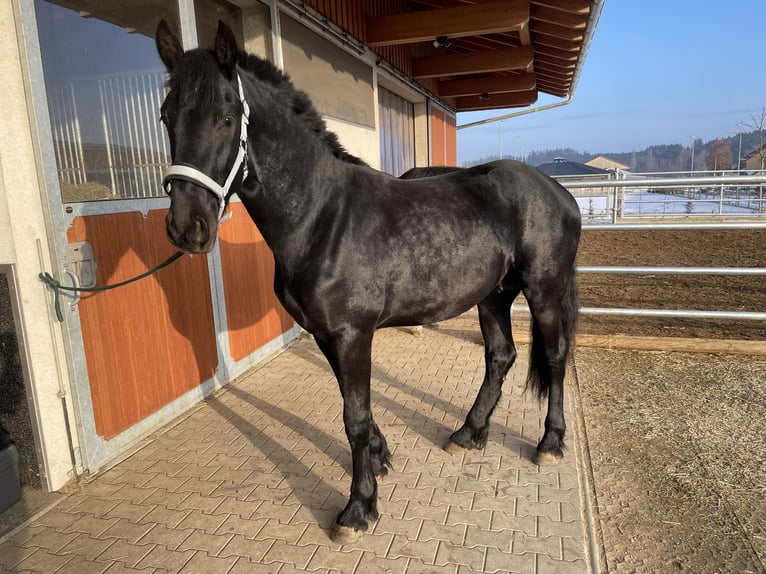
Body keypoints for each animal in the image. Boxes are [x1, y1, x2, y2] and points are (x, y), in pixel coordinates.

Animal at [155, 20, 581, 543]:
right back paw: (468, 433)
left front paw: (358, 508)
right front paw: (379, 459)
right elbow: (352, 402)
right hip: (493, 297)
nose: (186, 226)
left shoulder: (352, 333)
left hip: (544, 292)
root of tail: (559, 191)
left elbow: (353, 416)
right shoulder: (327, 334)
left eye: (226, 117)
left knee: (556, 358)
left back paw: (550, 443)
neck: (321, 214)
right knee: (500, 357)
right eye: (166, 116)